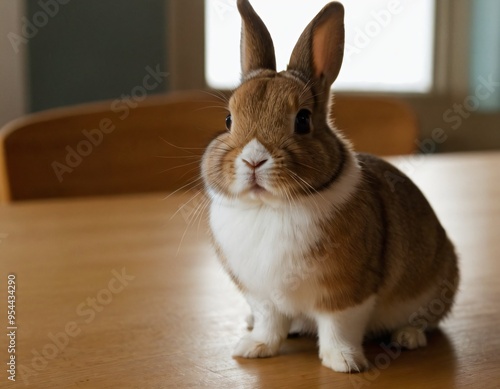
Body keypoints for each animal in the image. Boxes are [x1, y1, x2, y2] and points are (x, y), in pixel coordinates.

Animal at [201, 0, 458, 372]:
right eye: (228, 120)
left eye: (303, 120)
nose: (253, 160)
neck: (271, 207)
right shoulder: (262, 296)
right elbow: (268, 323)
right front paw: (253, 348)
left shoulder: (346, 292)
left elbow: (339, 327)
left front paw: (345, 362)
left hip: (434, 287)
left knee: (425, 320)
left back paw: (408, 337)